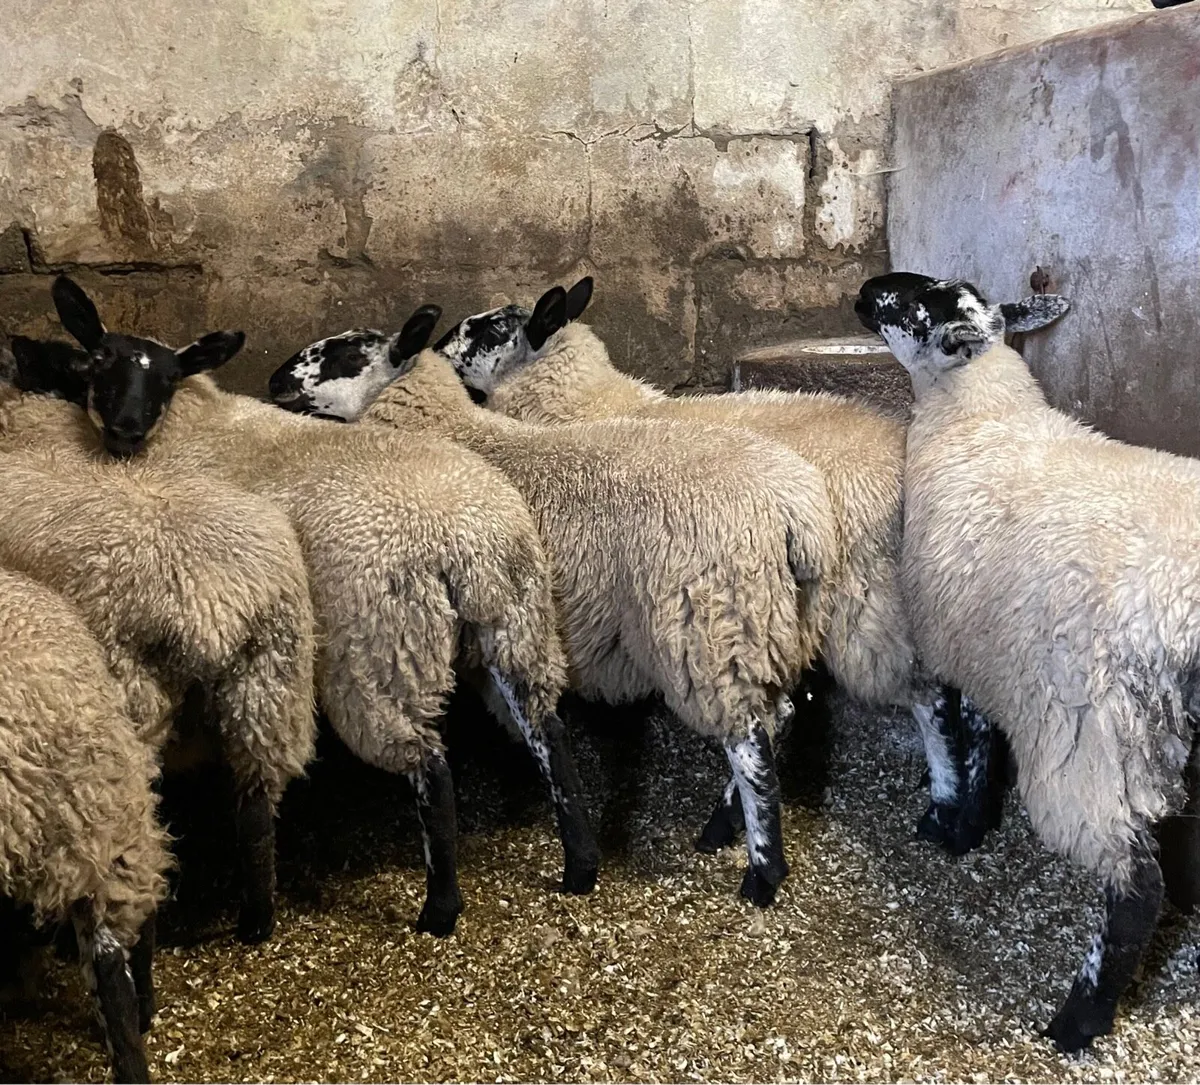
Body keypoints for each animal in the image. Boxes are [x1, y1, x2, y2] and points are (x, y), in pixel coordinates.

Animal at [15, 277, 598, 938]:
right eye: (101, 362)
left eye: (344, 356)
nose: (125, 427)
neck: (190, 425)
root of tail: (464, 541)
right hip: (517, 623)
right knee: (548, 730)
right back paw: (580, 865)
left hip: (382, 650)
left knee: (430, 767)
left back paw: (438, 908)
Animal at [268, 307, 841, 907]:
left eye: (344, 355)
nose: (274, 381)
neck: (459, 432)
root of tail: (796, 514)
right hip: (776, 624)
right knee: (781, 712)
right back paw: (720, 829)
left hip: (711, 628)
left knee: (750, 741)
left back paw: (761, 873)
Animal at [855, 270, 1199, 1053]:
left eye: (912, 307)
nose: (864, 289)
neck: (983, 417)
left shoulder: (973, 646)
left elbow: (972, 745)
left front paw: (957, 828)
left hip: (1098, 750)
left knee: (1138, 889)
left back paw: (1079, 1018)